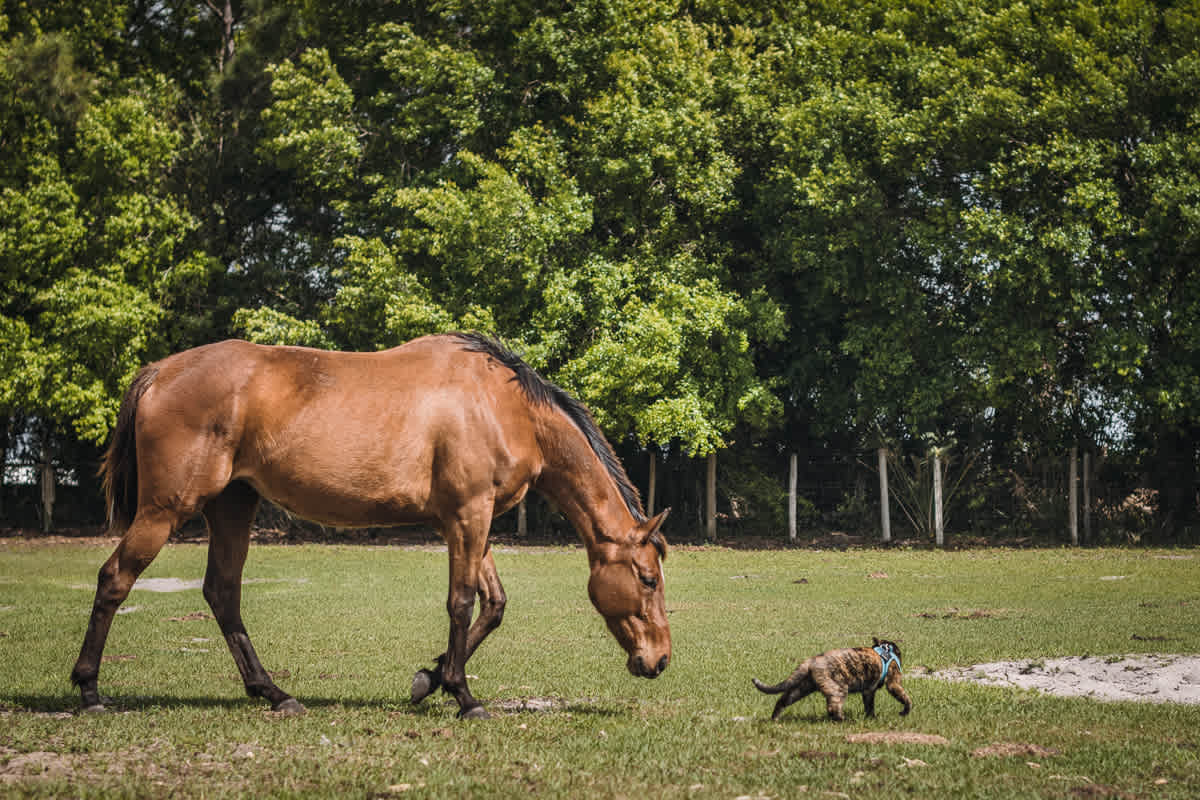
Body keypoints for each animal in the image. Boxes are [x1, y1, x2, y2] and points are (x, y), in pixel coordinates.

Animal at [70, 331, 672, 719]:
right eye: (648, 579)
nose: (660, 660)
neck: (503, 406)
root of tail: (159, 372)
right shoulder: (468, 515)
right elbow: (462, 603)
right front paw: (464, 698)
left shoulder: (467, 520)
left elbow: (493, 604)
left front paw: (430, 680)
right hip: (164, 510)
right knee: (116, 579)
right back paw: (90, 692)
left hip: (233, 506)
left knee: (222, 593)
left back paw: (275, 694)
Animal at [753, 642, 912, 724]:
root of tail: (811, 661)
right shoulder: (893, 683)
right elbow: (906, 699)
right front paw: (905, 711)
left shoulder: (868, 691)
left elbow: (869, 706)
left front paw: (871, 717)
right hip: (839, 689)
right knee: (833, 707)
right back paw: (842, 720)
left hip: (802, 687)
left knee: (783, 700)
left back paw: (775, 718)